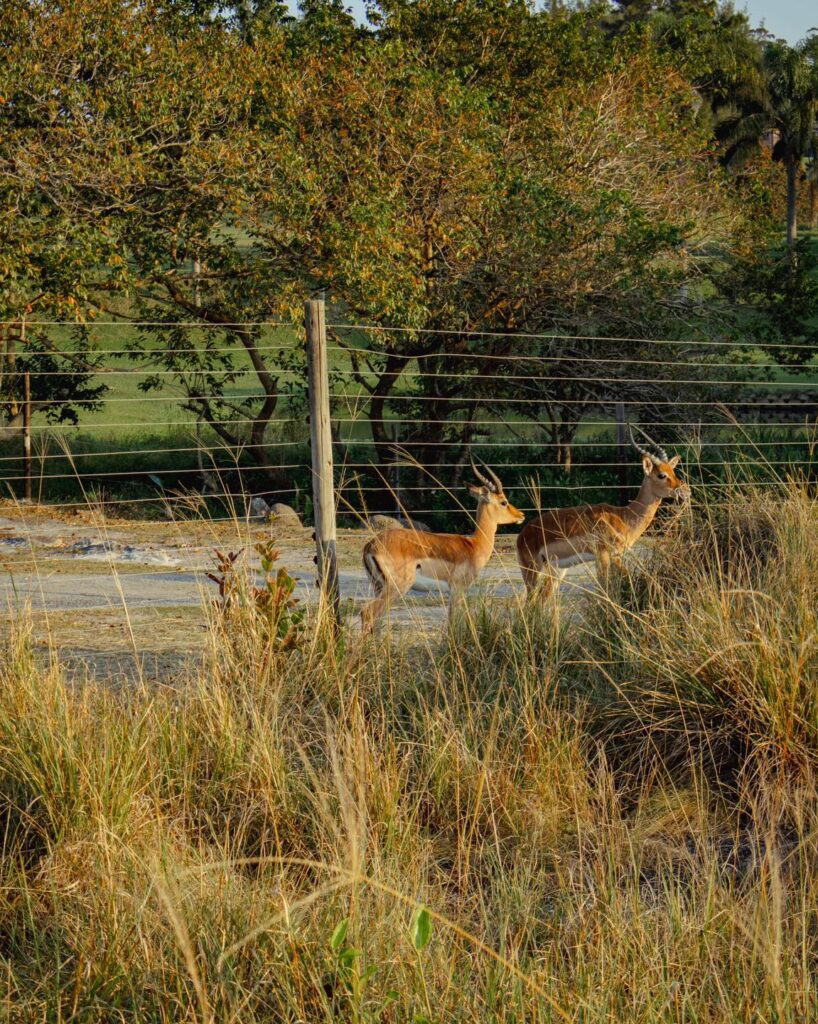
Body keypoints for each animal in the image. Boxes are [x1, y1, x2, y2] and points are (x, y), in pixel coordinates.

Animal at [362, 462, 528, 630]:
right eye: (503, 502)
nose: (521, 515)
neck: (473, 546)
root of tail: (371, 545)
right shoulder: (458, 589)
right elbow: (453, 621)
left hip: (378, 586)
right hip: (396, 587)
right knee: (367, 612)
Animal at [518, 423, 692, 598]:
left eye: (673, 471)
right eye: (661, 475)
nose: (685, 491)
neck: (623, 516)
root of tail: (522, 534)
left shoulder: (616, 556)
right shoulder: (603, 556)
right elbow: (605, 588)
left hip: (557, 570)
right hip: (532, 571)